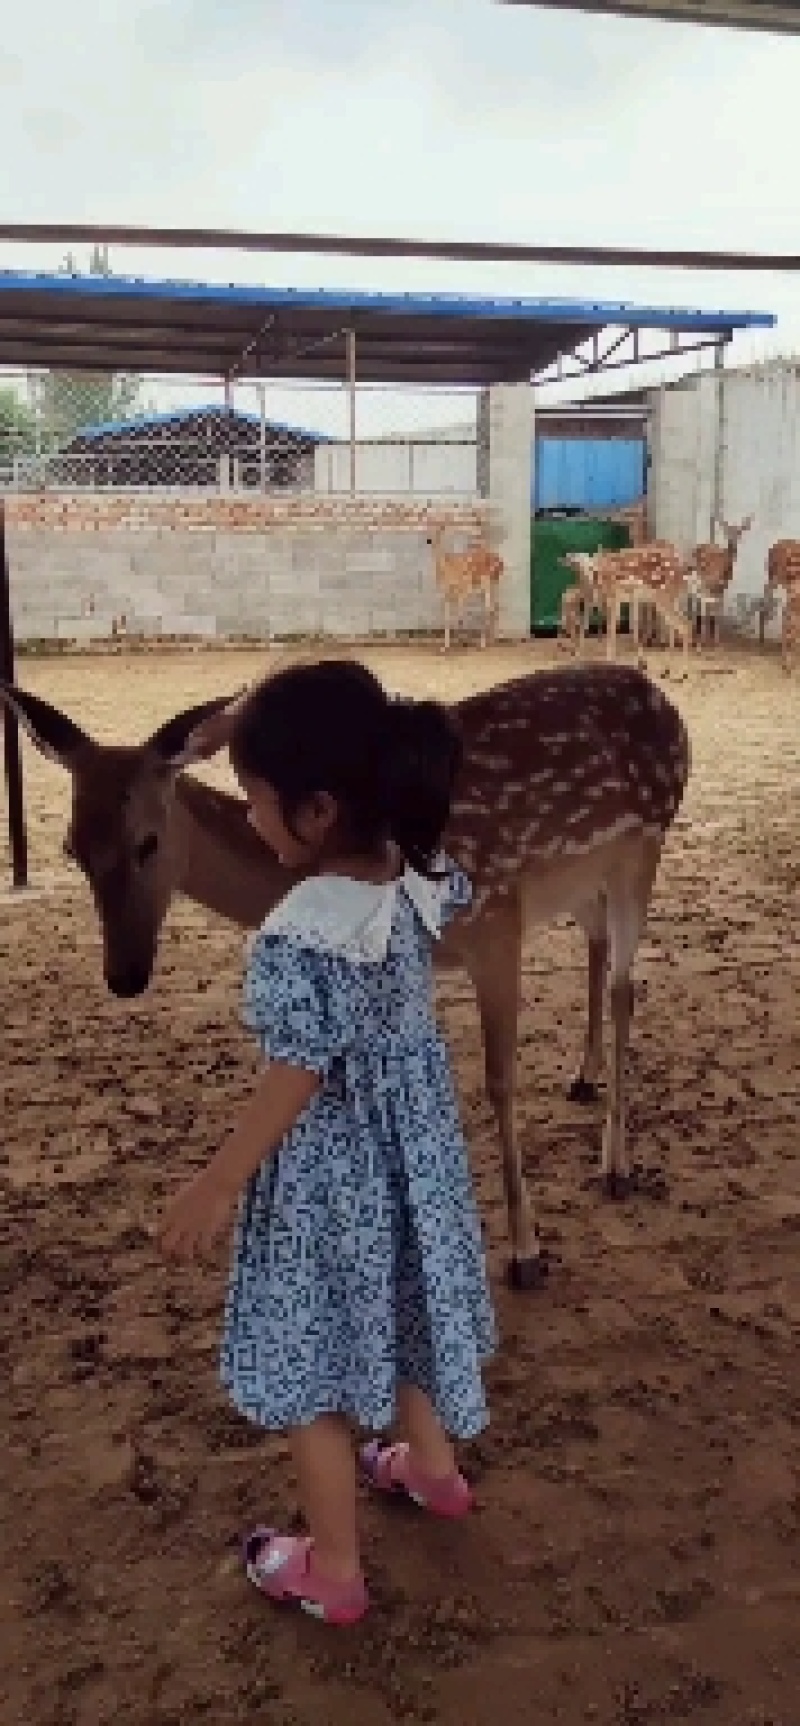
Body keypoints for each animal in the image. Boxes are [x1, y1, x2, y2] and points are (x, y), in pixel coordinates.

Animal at [0, 661, 691, 1291]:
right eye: (71, 848)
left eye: (148, 841)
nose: (125, 973)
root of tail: (665, 702)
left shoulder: (495, 919)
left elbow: (498, 1082)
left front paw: (526, 1254)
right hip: (582, 879)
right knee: (598, 948)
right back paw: (583, 1078)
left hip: (643, 847)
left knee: (626, 986)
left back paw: (615, 1167)